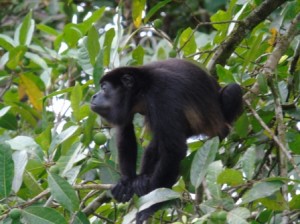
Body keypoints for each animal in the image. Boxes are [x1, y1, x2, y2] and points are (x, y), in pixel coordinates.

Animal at [90, 58, 243, 223]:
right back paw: (142, 180)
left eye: (104, 88)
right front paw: (127, 181)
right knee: (156, 143)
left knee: (232, 90)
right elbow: (125, 131)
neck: (141, 90)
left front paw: (152, 205)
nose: (94, 96)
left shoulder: (162, 93)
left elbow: (174, 150)